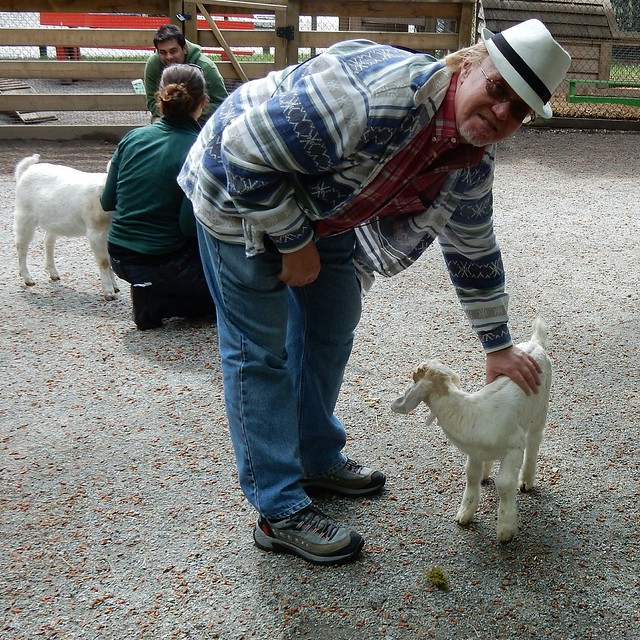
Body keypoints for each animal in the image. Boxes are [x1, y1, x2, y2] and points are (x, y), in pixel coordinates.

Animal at [14, 154, 118, 300]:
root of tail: (27, 169)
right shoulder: (95, 232)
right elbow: (104, 261)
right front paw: (109, 292)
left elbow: (110, 261)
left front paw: (115, 287)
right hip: (24, 214)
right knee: (21, 245)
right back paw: (27, 278)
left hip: (53, 220)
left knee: (48, 241)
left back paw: (53, 273)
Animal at [392, 318, 552, 544]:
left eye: (414, 377)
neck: (466, 409)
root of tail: (536, 343)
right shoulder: (474, 451)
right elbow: (471, 475)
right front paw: (465, 513)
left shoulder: (514, 447)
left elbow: (504, 484)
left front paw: (505, 529)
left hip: (540, 409)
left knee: (534, 441)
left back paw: (526, 480)